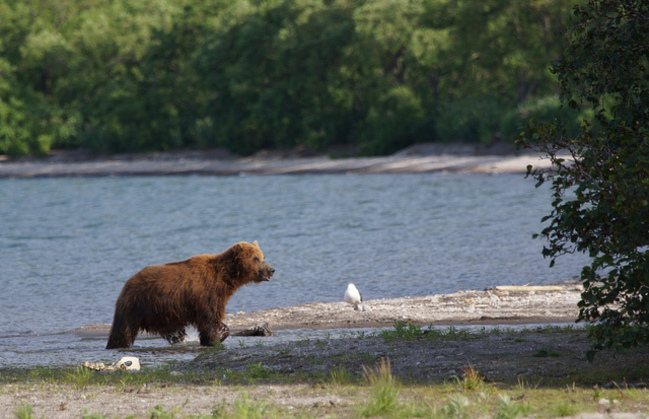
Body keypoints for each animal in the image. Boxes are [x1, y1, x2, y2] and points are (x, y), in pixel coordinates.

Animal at [105, 241, 272, 350]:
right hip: (136, 304)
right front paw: (213, 340)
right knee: (123, 330)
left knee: (174, 330)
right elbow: (210, 319)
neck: (225, 278)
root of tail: (128, 282)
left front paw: (221, 333)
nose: (271, 270)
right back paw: (115, 345)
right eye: (256, 258)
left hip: (162, 313)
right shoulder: (207, 293)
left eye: (263, 256)